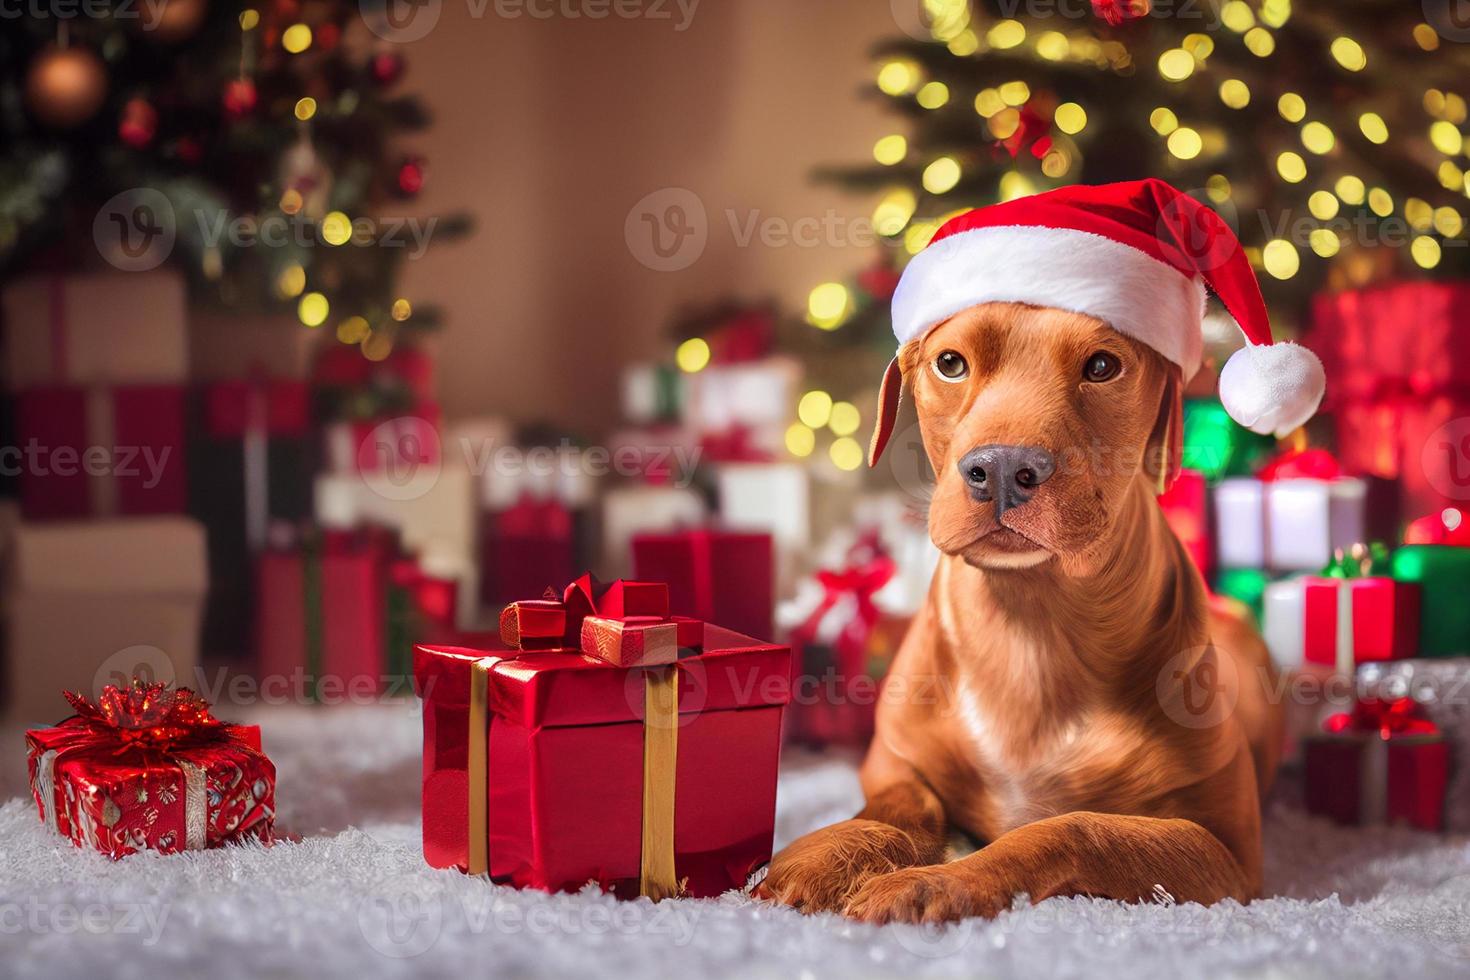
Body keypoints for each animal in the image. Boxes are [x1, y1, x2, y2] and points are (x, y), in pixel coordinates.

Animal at [764, 302, 1281, 922]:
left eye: (1103, 366)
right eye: (950, 363)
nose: (1003, 469)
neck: (1029, 628)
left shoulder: (1226, 852)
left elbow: (1073, 828)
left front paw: (936, 880)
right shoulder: (893, 761)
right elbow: (900, 807)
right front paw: (831, 853)